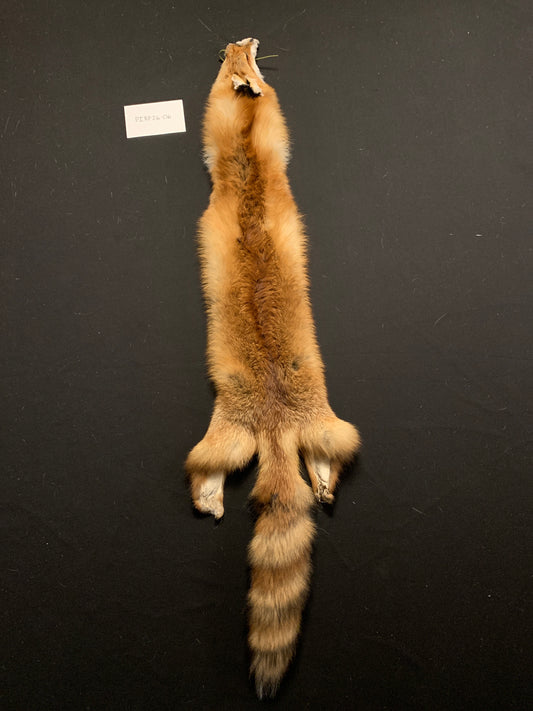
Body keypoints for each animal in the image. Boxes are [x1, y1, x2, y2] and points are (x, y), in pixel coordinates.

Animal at [185, 37, 360, 698]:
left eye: (238, 55)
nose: (243, 42)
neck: (245, 168)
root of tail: (276, 425)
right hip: (288, 430)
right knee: (317, 460)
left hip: (249, 435)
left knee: (218, 471)